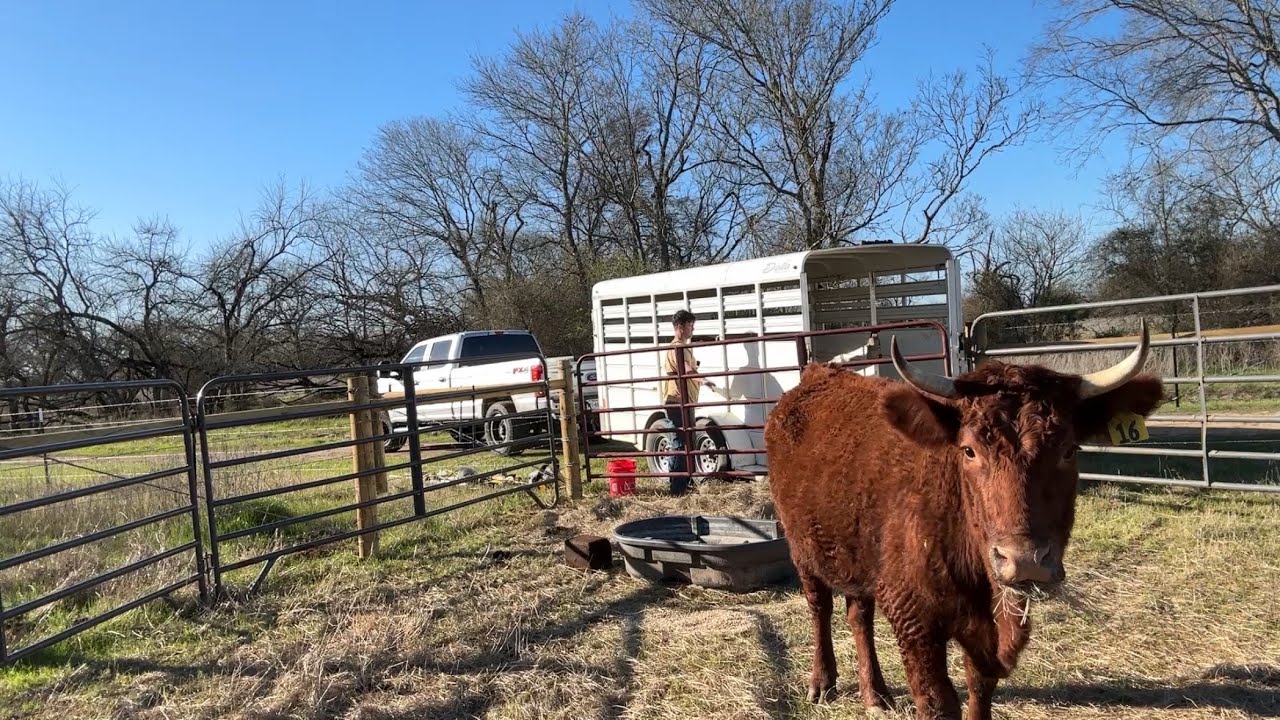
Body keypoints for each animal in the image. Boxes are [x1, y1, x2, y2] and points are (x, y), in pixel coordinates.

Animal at [763, 321, 1162, 720]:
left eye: (1069, 449)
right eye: (969, 450)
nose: (1025, 560)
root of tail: (818, 375)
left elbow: (979, 686)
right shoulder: (914, 619)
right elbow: (938, 702)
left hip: (855, 553)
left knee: (859, 614)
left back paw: (874, 693)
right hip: (802, 549)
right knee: (820, 608)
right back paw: (822, 682)